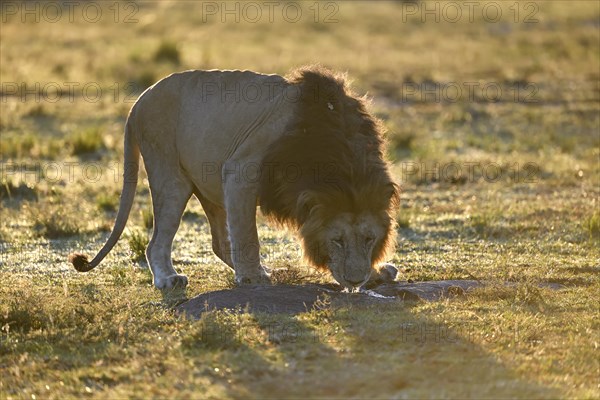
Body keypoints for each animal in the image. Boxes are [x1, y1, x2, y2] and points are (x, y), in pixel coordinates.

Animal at [69, 65, 398, 290]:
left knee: (219, 242)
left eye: (369, 238)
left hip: (208, 184)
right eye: (337, 240)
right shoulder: (241, 170)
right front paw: (253, 278)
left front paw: (377, 273)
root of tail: (138, 101)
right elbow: (248, 235)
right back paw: (169, 279)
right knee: (158, 240)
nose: (355, 281)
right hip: (169, 172)